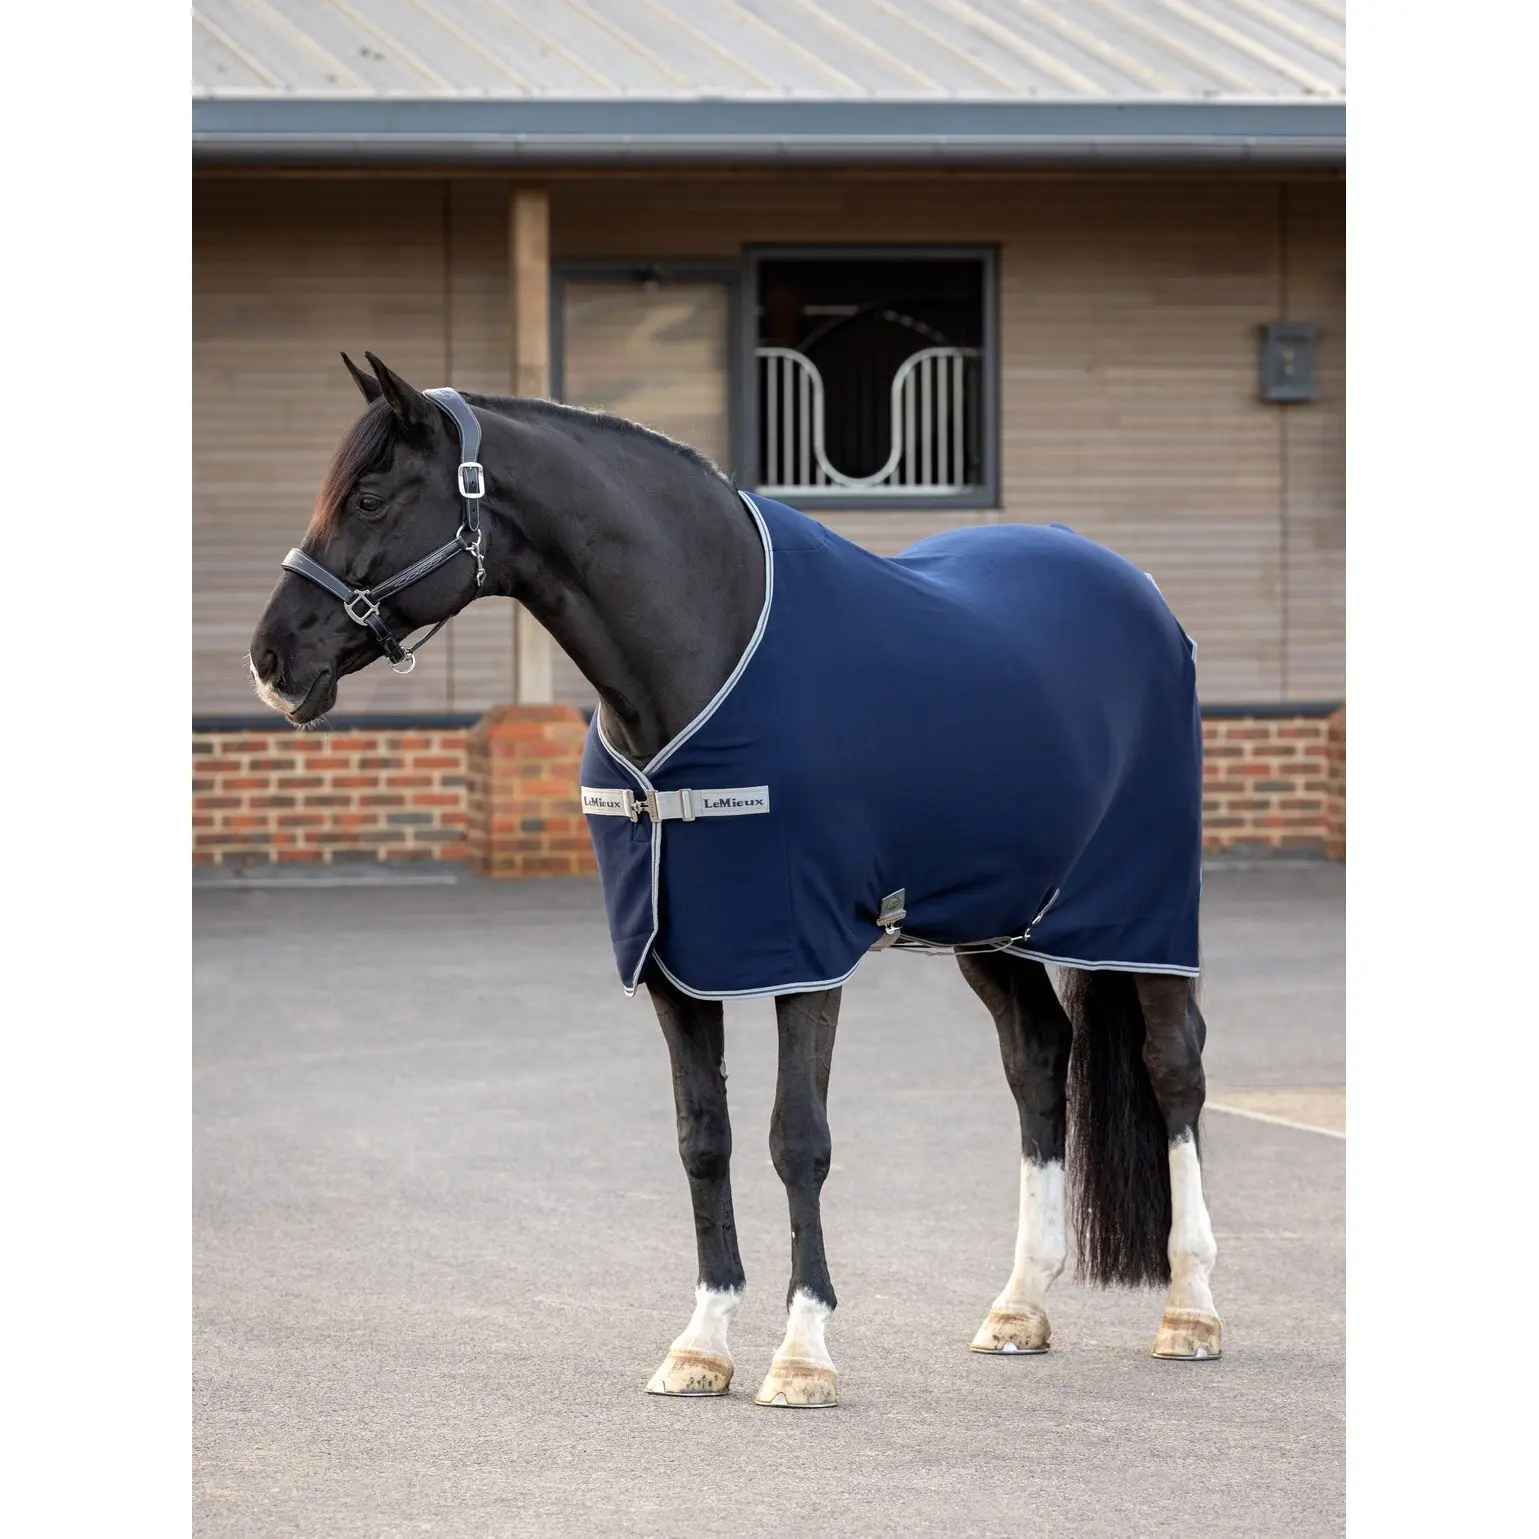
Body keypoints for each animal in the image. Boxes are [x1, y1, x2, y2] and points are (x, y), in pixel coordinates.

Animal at [248, 352, 1221, 1408]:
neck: (702, 653)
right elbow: (700, 1135)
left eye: (371, 495)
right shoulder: (674, 961)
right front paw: (702, 1342)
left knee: (1173, 1068)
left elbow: (798, 1137)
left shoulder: (803, 954)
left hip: (1144, 916)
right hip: (992, 923)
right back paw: (1019, 1304)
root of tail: (1139, 590)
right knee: (1039, 1063)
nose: (271, 658)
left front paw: (802, 1353)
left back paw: (1190, 1309)